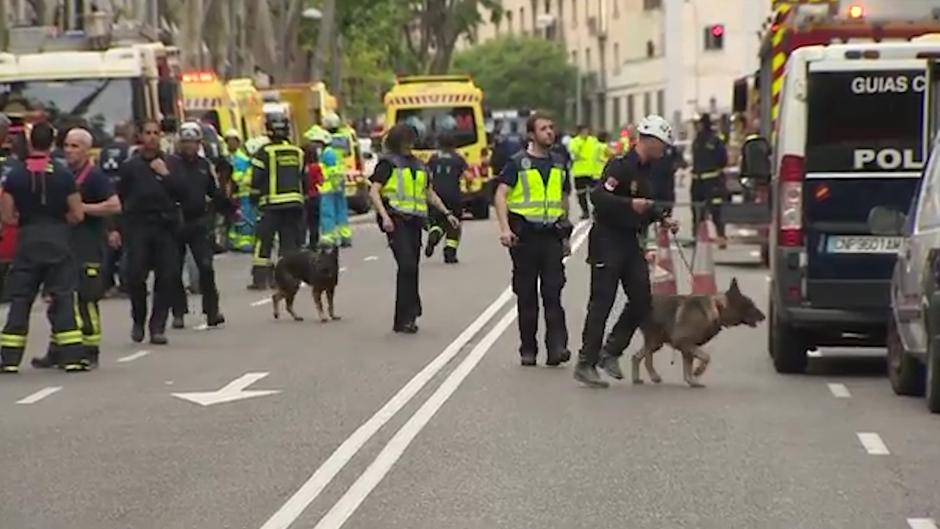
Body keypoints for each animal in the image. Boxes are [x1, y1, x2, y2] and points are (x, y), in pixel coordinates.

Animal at [632, 278, 764, 386]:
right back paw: (654, 376)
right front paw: (698, 371)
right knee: (647, 360)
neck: (717, 307)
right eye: (750, 305)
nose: (764, 316)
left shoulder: (687, 349)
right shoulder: (684, 343)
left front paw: (691, 381)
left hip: (657, 343)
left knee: (636, 357)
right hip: (654, 341)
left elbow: (688, 367)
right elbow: (706, 357)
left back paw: (636, 378)